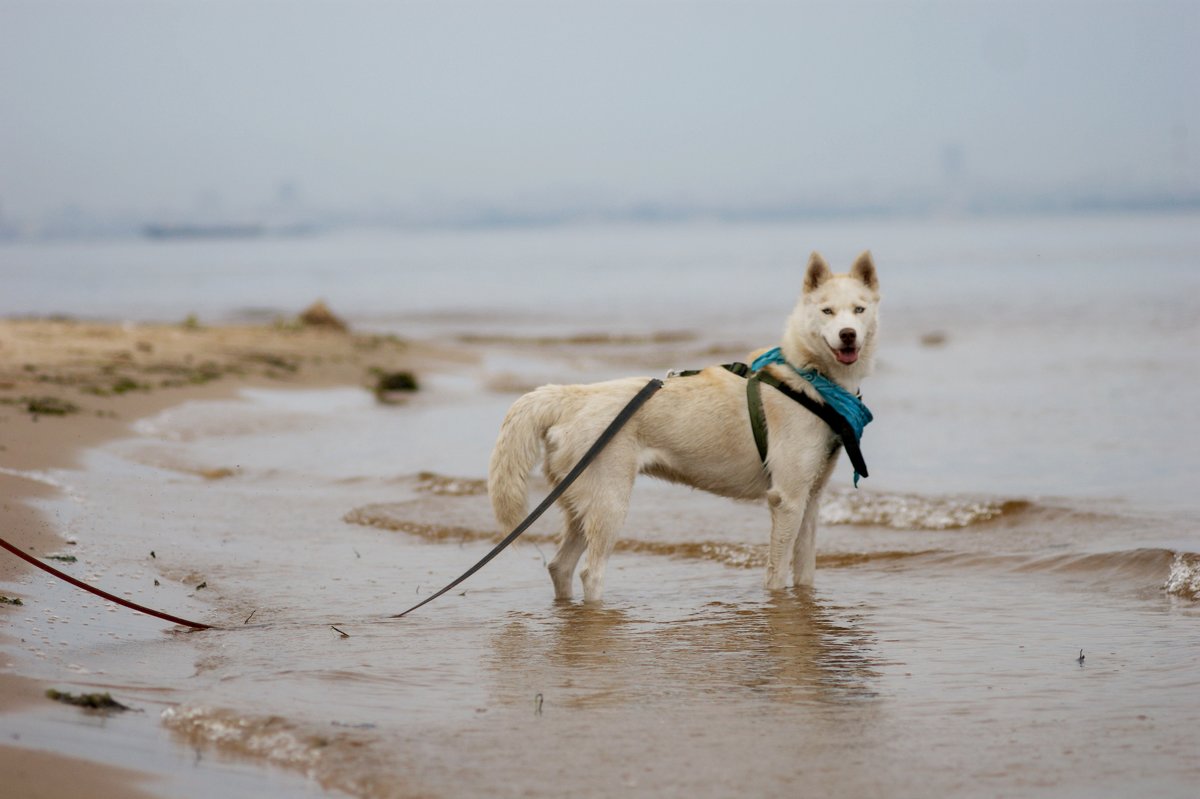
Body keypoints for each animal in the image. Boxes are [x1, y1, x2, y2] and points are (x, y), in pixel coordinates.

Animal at [487, 250, 883, 597]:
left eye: (859, 310)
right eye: (827, 311)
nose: (848, 334)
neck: (808, 377)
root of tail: (573, 396)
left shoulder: (810, 499)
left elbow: (805, 573)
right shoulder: (787, 500)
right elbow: (776, 575)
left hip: (578, 502)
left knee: (560, 566)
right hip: (609, 503)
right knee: (590, 571)